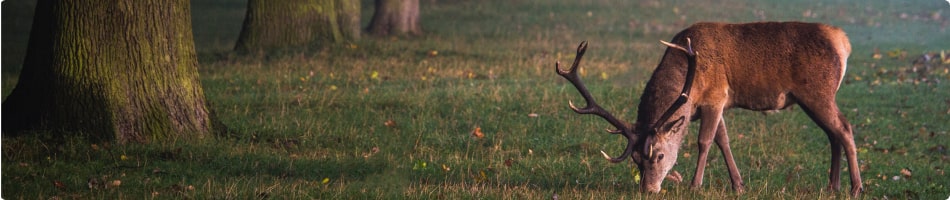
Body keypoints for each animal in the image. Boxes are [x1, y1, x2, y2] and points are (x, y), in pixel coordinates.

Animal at [556, 21, 864, 196]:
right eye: (635, 159)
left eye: (659, 155)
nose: (648, 189)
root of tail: (843, 41)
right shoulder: (716, 104)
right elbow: (723, 140)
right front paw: (738, 185)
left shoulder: (716, 95)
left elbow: (705, 141)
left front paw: (695, 185)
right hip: (811, 98)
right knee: (832, 134)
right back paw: (833, 186)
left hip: (818, 91)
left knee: (845, 128)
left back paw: (856, 187)